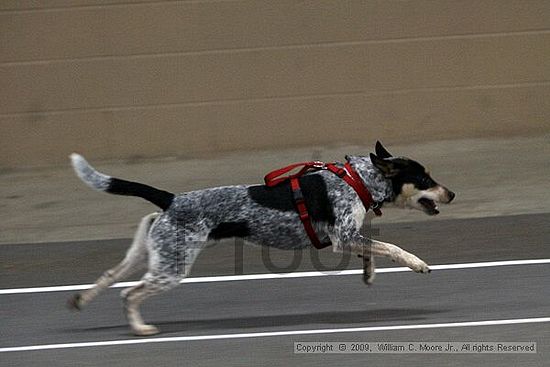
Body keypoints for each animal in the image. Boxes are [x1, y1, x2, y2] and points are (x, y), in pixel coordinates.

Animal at [69, 142, 458, 336]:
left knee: (110, 277)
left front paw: (368, 274)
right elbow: (390, 247)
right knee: (128, 293)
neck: (357, 179)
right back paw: (139, 328)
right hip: (171, 267)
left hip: (150, 255)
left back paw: (81, 300)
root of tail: (171, 199)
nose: (452, 194)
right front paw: (416, 263)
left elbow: (372, 251)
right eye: (425, 179)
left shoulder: (349, 238)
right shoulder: (342, 237)